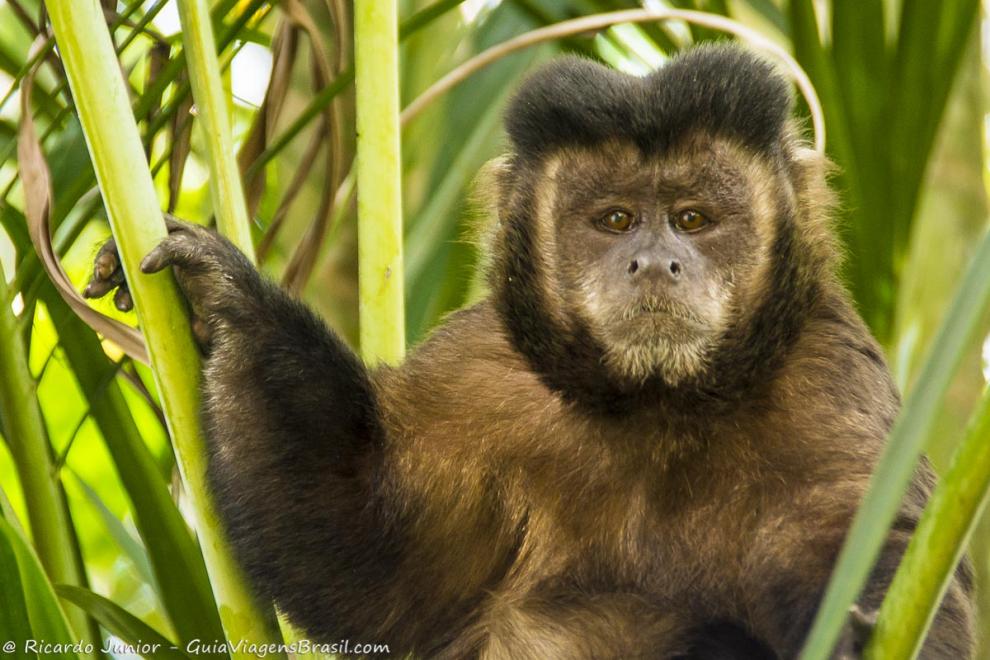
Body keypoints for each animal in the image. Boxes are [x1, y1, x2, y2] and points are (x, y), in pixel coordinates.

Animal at [87, 43, 976, 656]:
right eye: (615, 219)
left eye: (692, 218)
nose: (655, 262)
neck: (659, 402)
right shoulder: (483, 369)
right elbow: (375, 571)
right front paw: (225, 300)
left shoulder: (829, 374)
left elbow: (883, 548)